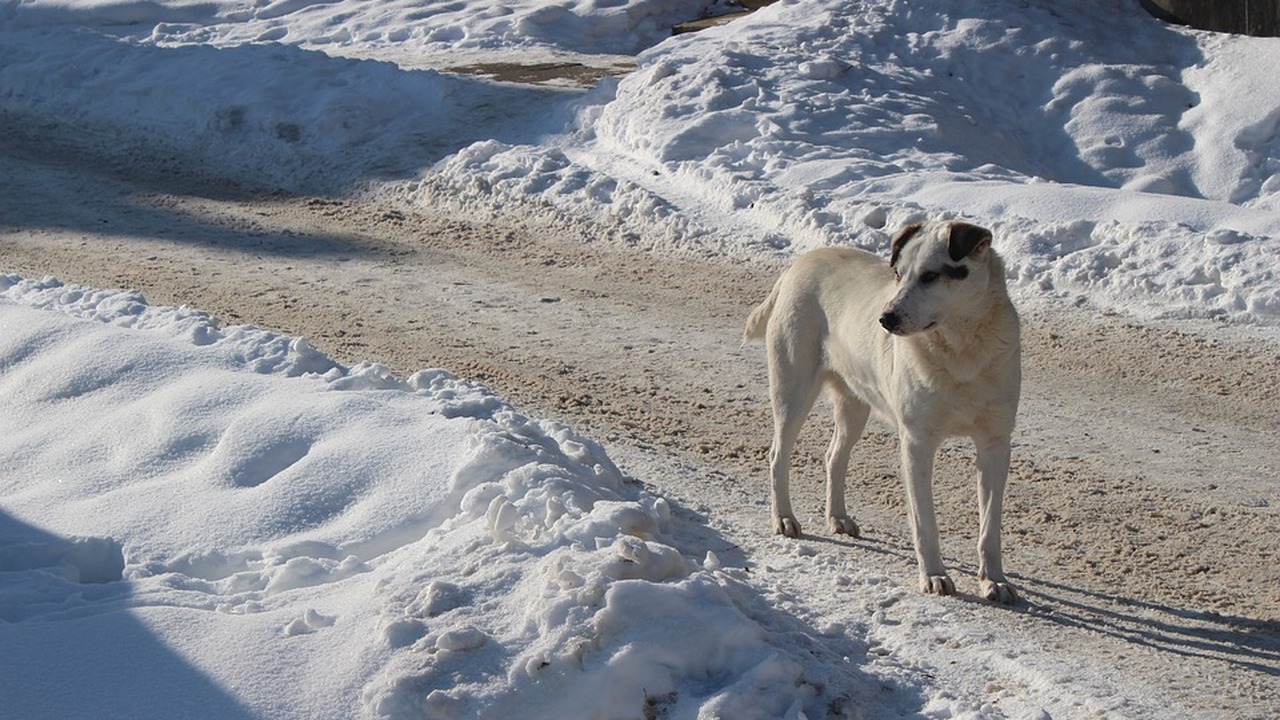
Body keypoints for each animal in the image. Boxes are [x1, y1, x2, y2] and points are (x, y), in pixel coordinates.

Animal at [742, 217, 1018, 599]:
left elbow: (990, 527)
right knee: (777, 455)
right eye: (898, 274)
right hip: (792, 390)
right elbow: (925, 522)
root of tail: (797, 265)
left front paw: (995, 580)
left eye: (931, 276)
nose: (886, 319)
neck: (962, 351)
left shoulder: (995, 444)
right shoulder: (917, 443)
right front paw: (934, 575)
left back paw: (837, 517)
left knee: (834, 457)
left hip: (854, 405)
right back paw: (784, 518)